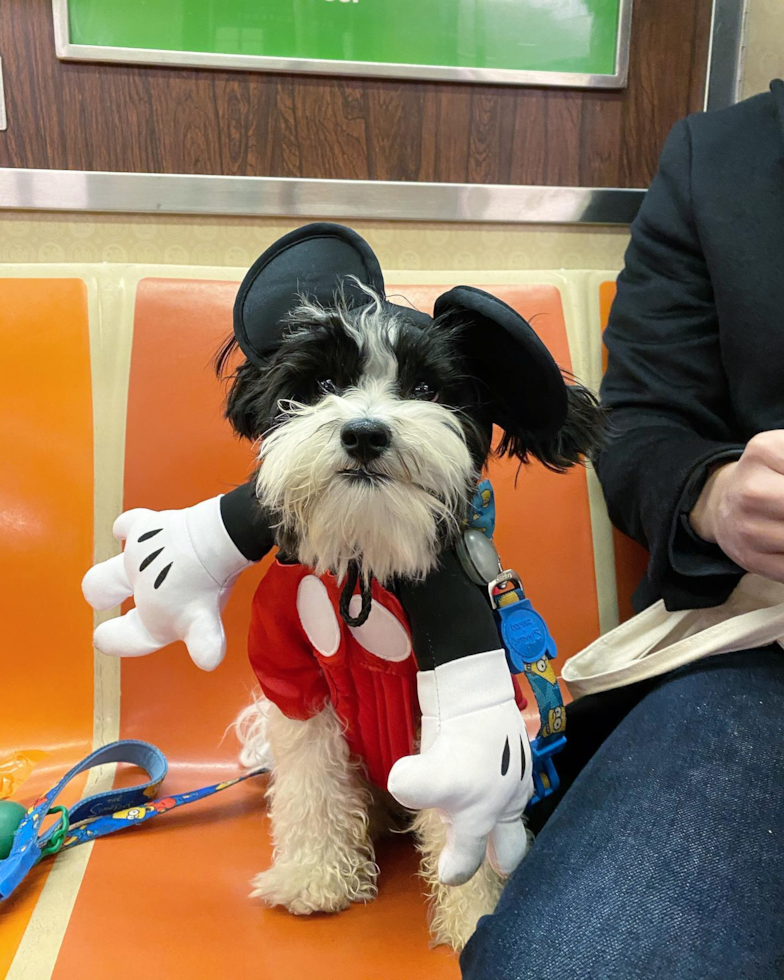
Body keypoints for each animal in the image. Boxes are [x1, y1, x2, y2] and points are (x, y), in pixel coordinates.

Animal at [84, 224, 600, 948]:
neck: (365, 563)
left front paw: (472, 914)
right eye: (322, 382)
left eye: (427, 387)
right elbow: (311, 784)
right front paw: (315, 877)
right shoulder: (294, 673)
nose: (363, 432)